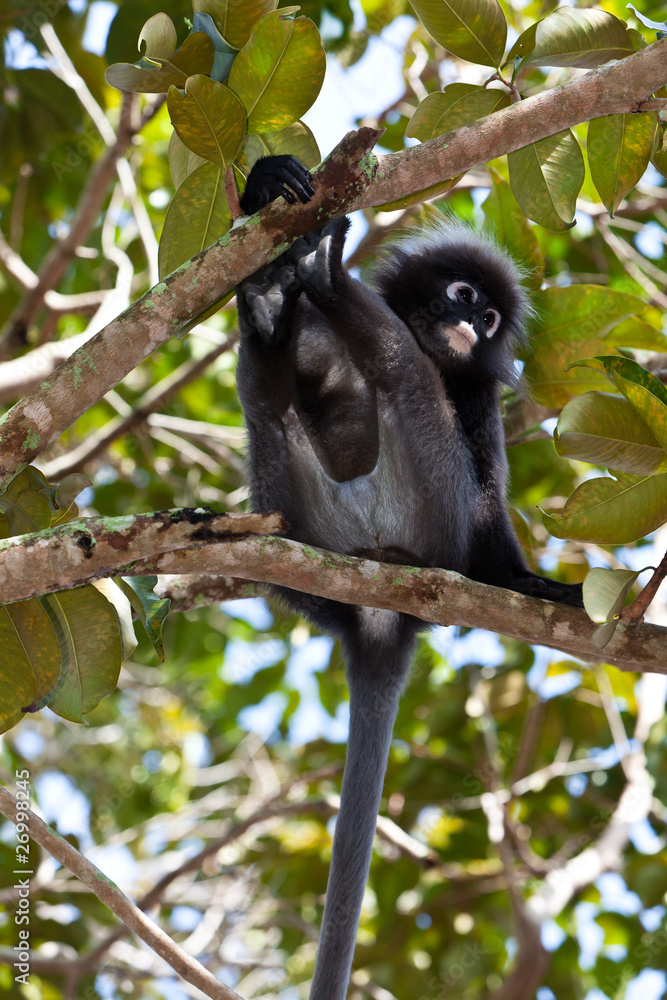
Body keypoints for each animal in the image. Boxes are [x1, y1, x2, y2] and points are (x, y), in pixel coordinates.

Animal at [234, 155, 583, 1000]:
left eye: (489, 322)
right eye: (462, 298)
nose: (468, 327)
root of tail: (380, 606)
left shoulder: (475, 405)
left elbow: (488, 492)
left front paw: (530, 586)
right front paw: (266, 187)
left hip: (428, 512)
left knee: (403, 376)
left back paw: (327, 281)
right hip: (294, 514)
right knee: (272, 402)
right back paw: (273, 304)